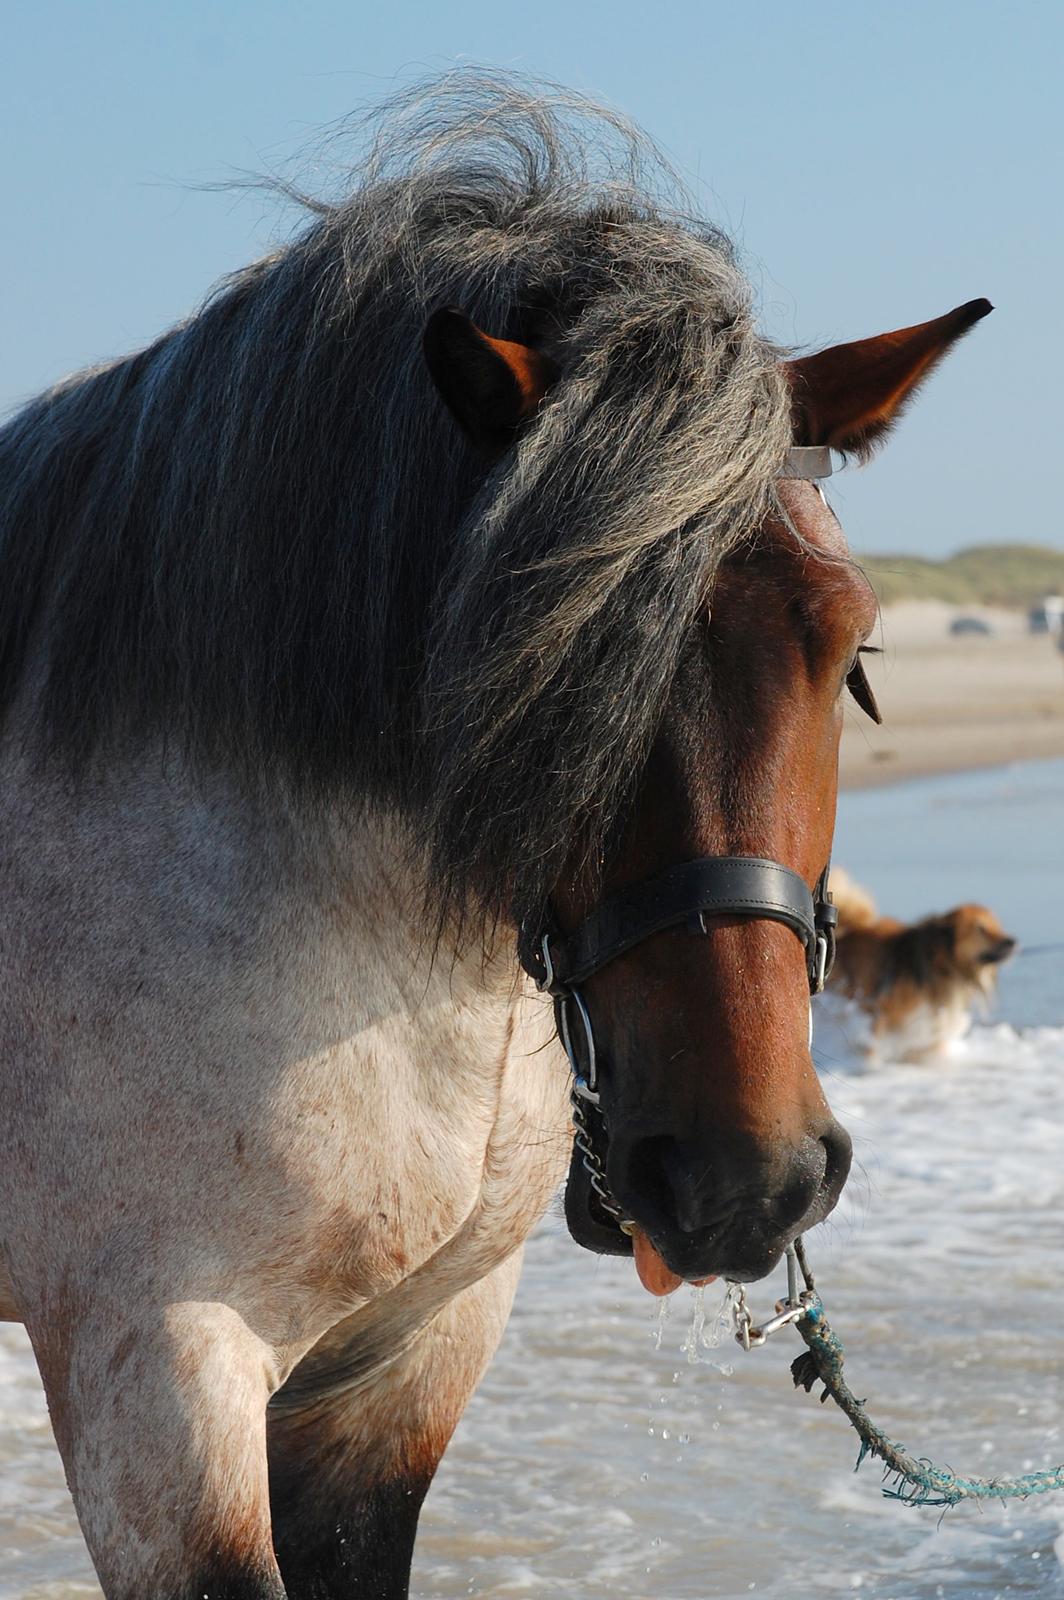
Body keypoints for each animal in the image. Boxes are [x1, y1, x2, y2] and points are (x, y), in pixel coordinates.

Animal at [825, 870, 1017, 1056]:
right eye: (980, 928)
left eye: (998, 926)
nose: (1012, 941)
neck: (943, 965)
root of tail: (847, 932)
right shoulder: (885, 1013)